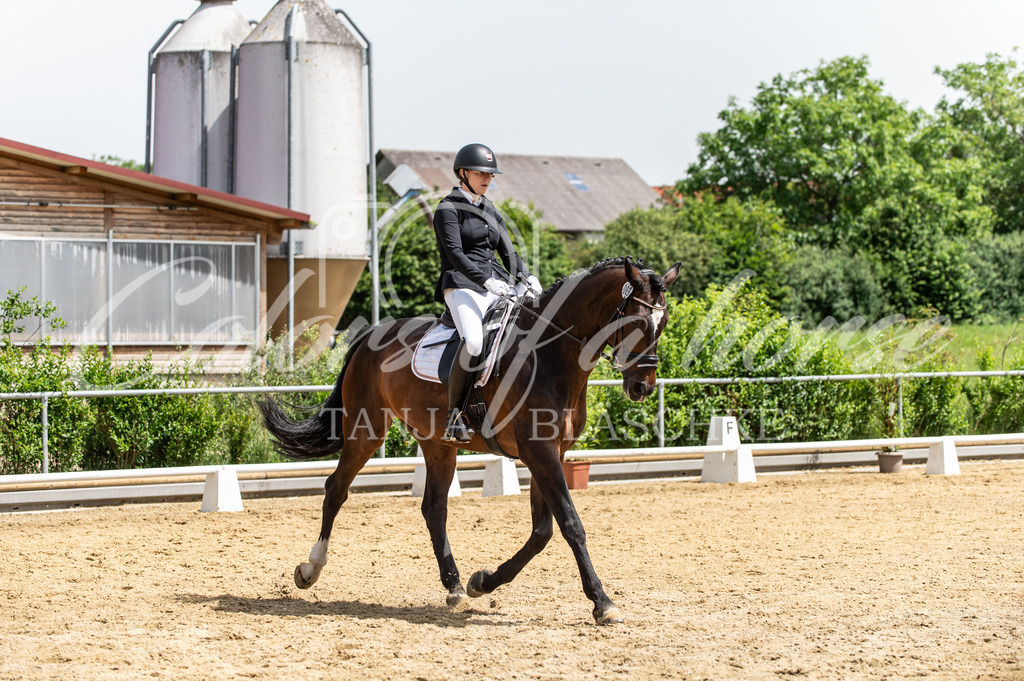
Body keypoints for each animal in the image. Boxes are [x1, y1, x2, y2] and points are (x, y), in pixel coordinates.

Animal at [260, 253, 679, 622]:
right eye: (638, 322)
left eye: (663, 325)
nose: (642, 387)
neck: (550, 355)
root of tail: (371, 335)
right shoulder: (539, 452)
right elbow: (570, 525)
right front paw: (602, 602)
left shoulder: (551, 453)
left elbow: (542, 532)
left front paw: (484, 582)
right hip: (366, 431)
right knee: (336, 489)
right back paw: (310, 569)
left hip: (437, 444)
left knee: (434, 508)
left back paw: (455, 586)